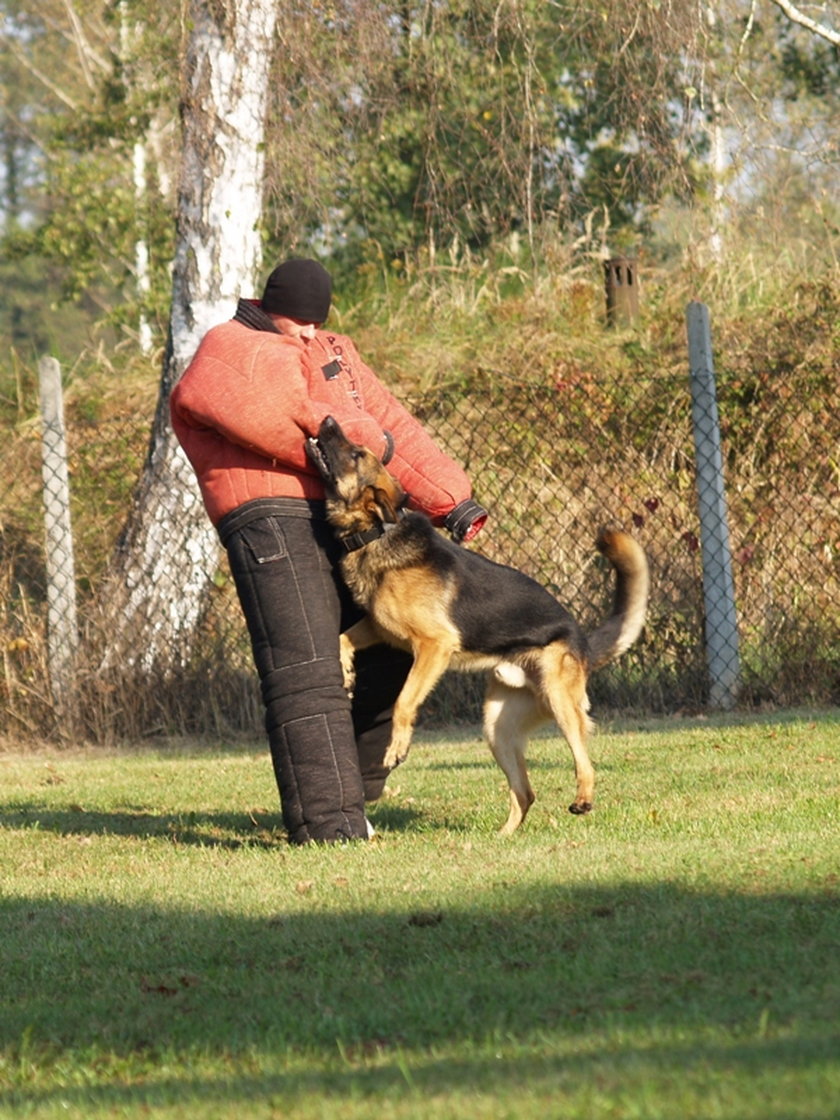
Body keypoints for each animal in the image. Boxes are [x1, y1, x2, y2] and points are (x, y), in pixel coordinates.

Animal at [306, 416, 649, 828]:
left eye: (357, 453)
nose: (327, 420)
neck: (376, 533)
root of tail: (580, 638)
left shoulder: (433, 646)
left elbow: (404, 701)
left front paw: (398, 747)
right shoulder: (380, 629)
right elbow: (342, 638)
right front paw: (345, 670)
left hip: (559, 703)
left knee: (584, 758)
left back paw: (583, 798)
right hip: (496, 728)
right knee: (525, 793)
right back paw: (504, 837)